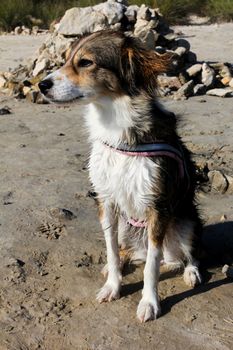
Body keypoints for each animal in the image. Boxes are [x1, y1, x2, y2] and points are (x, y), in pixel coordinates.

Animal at [38, 30, 202, 322]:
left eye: (86, 62)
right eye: (66, 59)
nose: (41, 85)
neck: (116, 126)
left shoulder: (158, 207)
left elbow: (151, 266)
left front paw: (149, 302)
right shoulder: (106, 201)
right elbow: (112, 250)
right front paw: (112, 286)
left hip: (186, 221)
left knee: (188, 253)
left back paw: (191, 272)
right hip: (128, 226)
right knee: (129, 251)